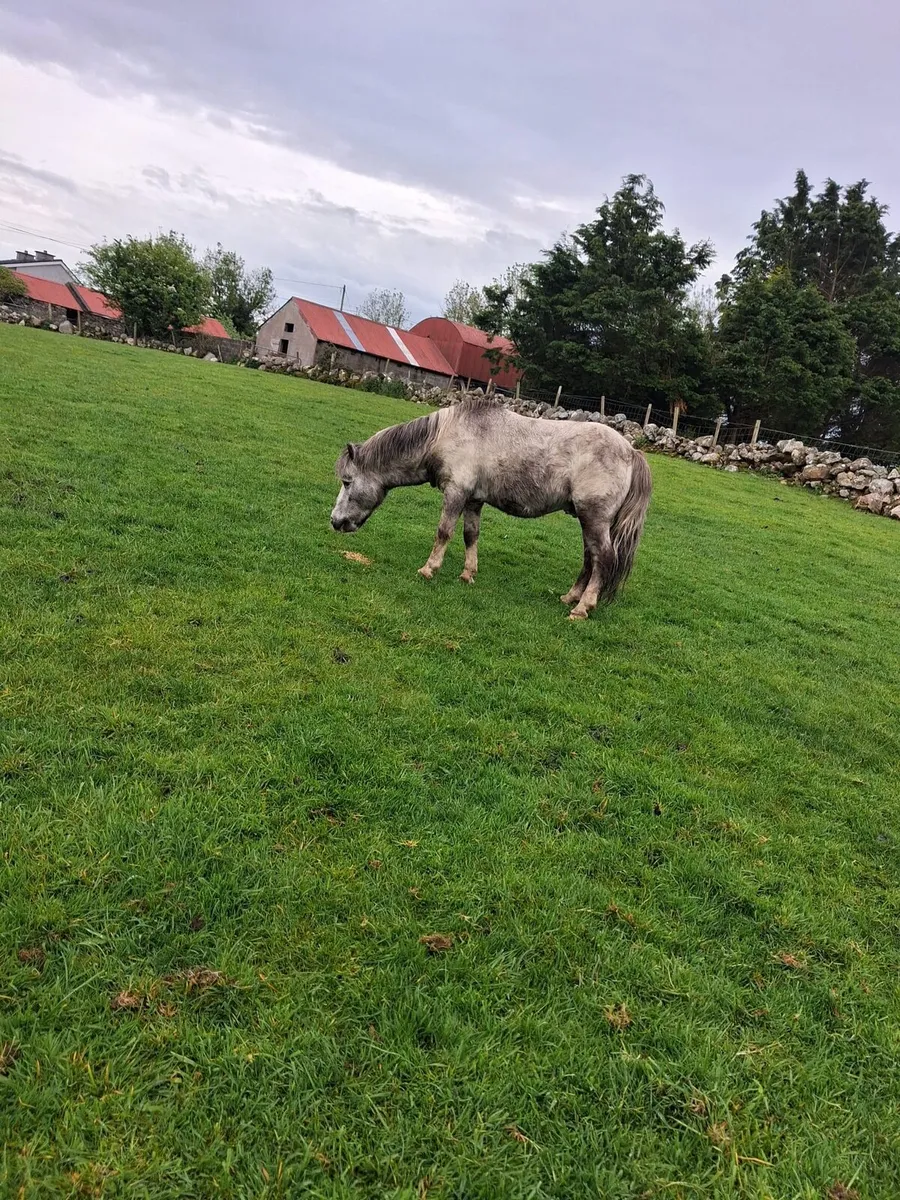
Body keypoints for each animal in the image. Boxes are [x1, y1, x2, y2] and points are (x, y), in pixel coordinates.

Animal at [330, 397, 651, 619]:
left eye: (347, 481)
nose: (335, 521)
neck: (445, 435)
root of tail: (632, 451)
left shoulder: (456, 492)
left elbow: (444, 532)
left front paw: (429, 569)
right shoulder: (473, 499)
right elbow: (470, 535)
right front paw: (467, 574)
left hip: (594, 518)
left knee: (603, 559)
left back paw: (583, 607)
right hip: (588, 521)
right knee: (589, 558)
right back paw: (570, 597)